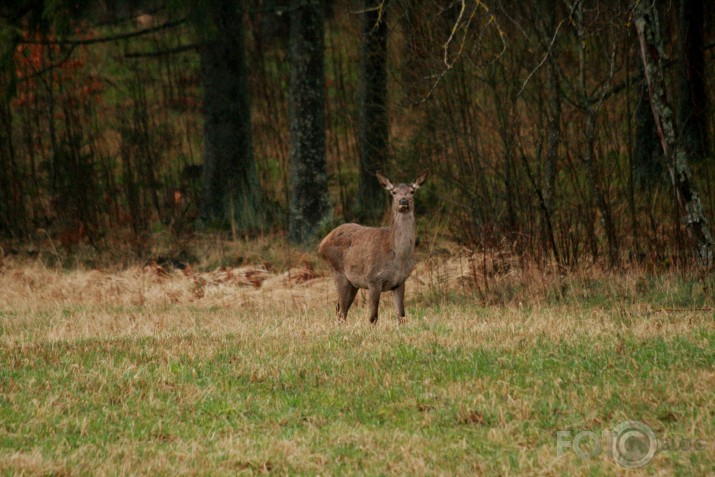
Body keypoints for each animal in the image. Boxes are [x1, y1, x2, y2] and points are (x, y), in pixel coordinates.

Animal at [320, 169, 430, 322]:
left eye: (412, 191)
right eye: (394, 192)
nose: (403, 201)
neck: (398, 257)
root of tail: (321, 244)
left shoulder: (400, 281)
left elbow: (401, 315)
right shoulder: (373, 279)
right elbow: (373, 317)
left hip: (353, 282)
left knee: (340, 310)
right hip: (338, 272)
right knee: (341, 311)